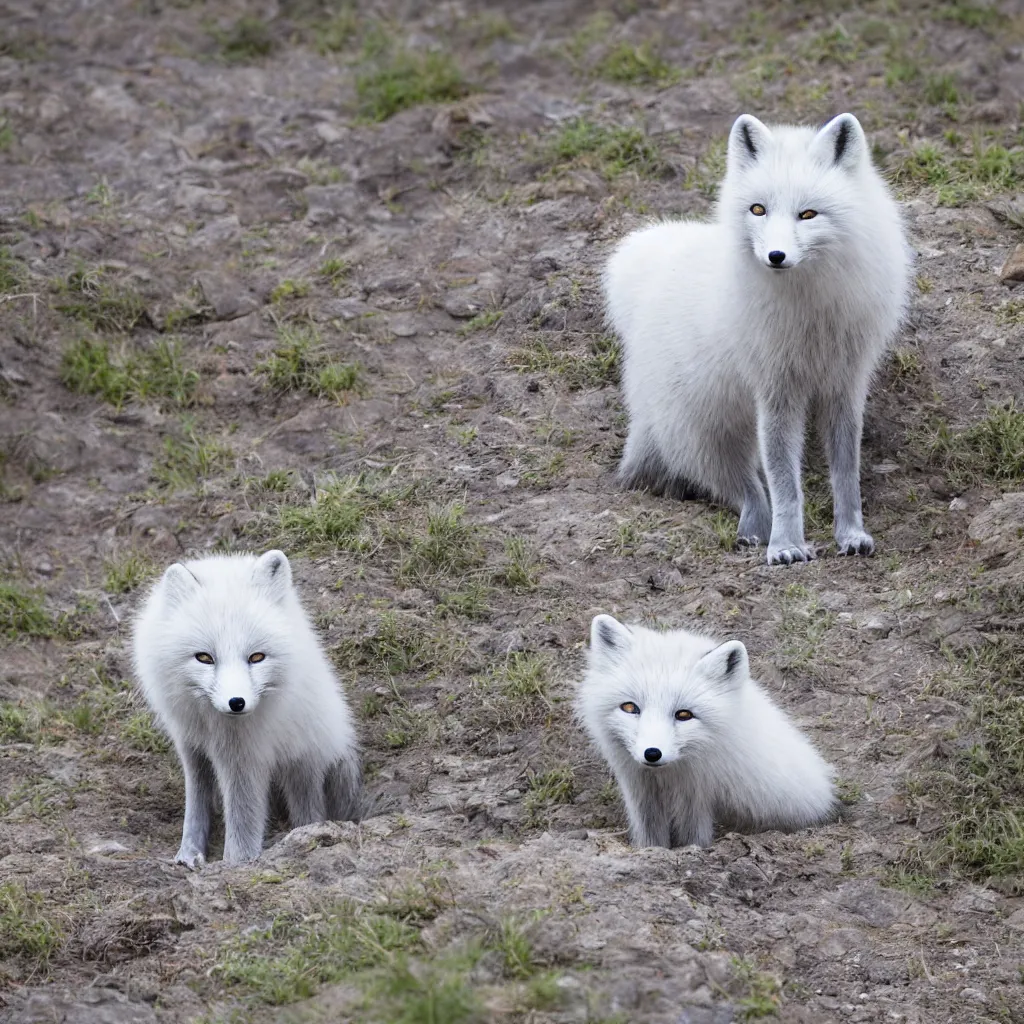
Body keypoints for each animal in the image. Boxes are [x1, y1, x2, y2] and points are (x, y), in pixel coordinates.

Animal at [133, 548, 360, 868]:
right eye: (204, 657)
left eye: (257, 657)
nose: (236, 703)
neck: (212, 724)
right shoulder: (190, 741)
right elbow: (197, 802)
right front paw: (188, 853)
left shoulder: (244, 755)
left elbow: (243, 818)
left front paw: (236, 863)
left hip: (305, 761)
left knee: (310, 812)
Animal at [577, 614, 839, 847]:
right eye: (630, 707)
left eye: (684, 715)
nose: (652, 753)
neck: (668, 777)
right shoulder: (640, 790)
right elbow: (650, 837)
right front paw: (652, 852)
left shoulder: (697, 793)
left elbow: (695, 839)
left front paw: (693, 852)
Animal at [602, 112, 909, 569]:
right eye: (758, 209)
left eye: (808, 214)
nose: (775, 257)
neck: (809, 310)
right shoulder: (775, 390)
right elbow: (784, 481)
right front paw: (785, 545)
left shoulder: (845, 383)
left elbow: (846, 471)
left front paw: (851, 534)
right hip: (706, 432)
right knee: (742, 486)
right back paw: (755, 531)